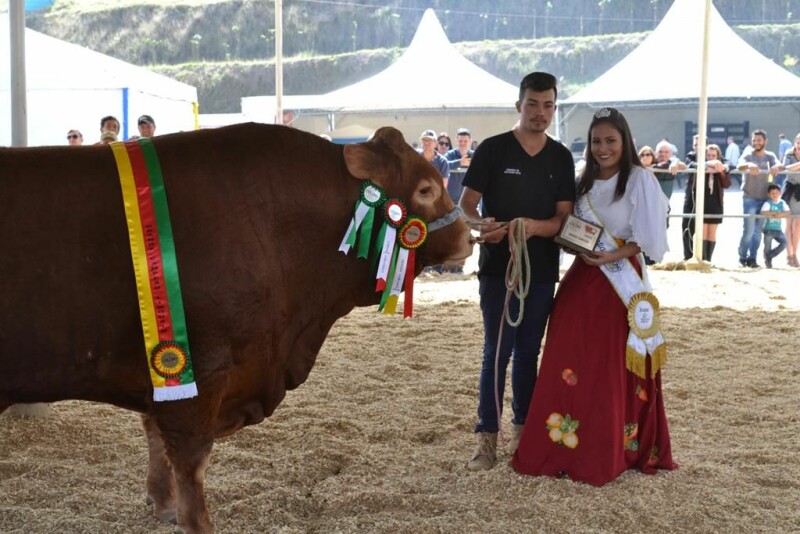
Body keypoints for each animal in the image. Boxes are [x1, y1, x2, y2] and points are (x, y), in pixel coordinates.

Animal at [0, 123, 476, 532]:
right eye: (426, 189)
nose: (468, 237)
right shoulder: (199, 371)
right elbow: (190, 461)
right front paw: (194, 520)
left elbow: (154, 436)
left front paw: (162, 503)